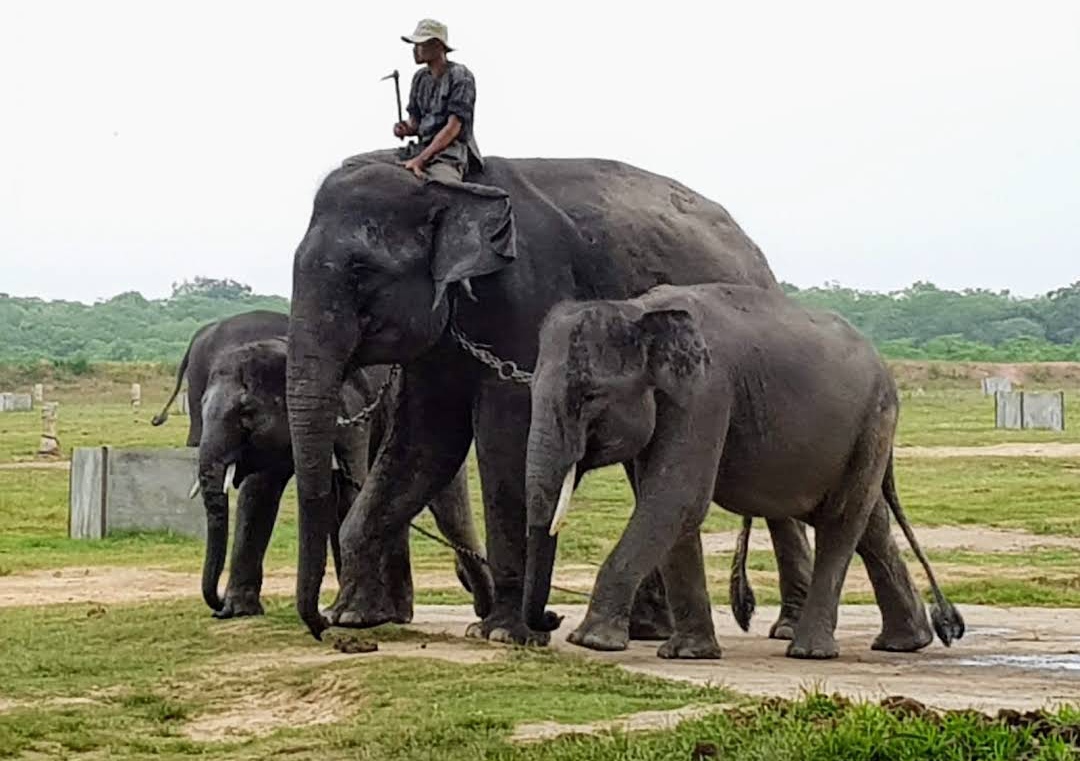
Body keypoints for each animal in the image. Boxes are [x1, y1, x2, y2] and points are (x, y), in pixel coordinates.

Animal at [152, 310, 494, 621]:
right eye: (201, 406)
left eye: (246, 413)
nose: (217, 604)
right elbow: (258, 497)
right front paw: (238, 611)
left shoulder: (351, 413)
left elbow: (348, 493)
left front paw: (350, 615)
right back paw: (400, 614)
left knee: (445, 512)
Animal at [282, 148, 812, 639]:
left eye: (360, 273)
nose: (318, 626)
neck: (445, 186)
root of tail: (754, 252)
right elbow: (424, 443)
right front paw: (355, 618)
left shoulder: (526, 294)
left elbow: (503, 438)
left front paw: (500, 633)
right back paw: (650, 629)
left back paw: (784, 628)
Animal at [518, 282, 967, 656]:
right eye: (531, 387)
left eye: (590, 396)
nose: (551, 619)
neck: (639, 310)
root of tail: (884, 365)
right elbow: (669, 505)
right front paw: (688, 654)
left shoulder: (706, 392)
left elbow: (677, 498)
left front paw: (591, 642)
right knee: (870, 524)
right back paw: (905, 643)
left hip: (874, 420)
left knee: (841, 519)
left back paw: (810, 651)